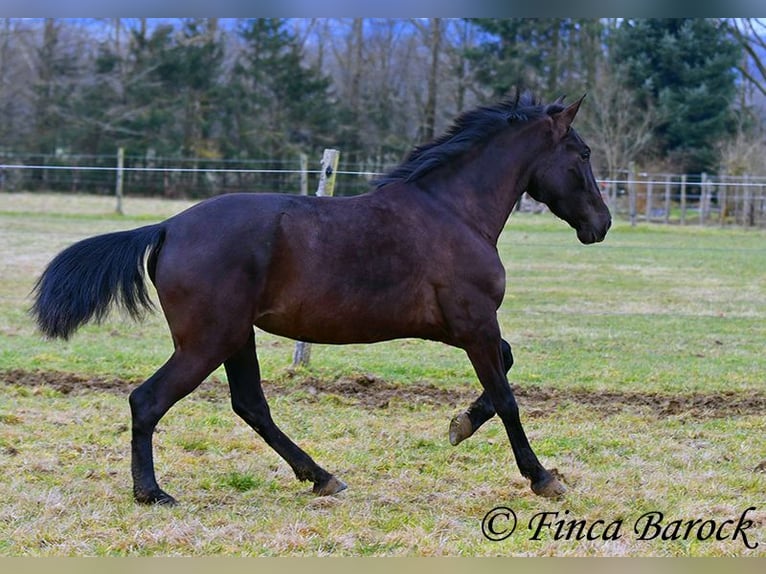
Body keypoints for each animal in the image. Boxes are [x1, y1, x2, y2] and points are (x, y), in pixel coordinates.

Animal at [33, 94, 616, 508]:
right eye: (583, 154)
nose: (602, 224)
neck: (453, 211)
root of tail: (169, 228)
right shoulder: (474, 323)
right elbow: (508, 396)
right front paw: (543, 478)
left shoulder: (457, 327)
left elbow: (505, 371)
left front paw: (460, 425)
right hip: (206, 342)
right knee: (148, 400)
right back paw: (152, 493)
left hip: (235, 337)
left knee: (250, 405)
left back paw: (321, 477)